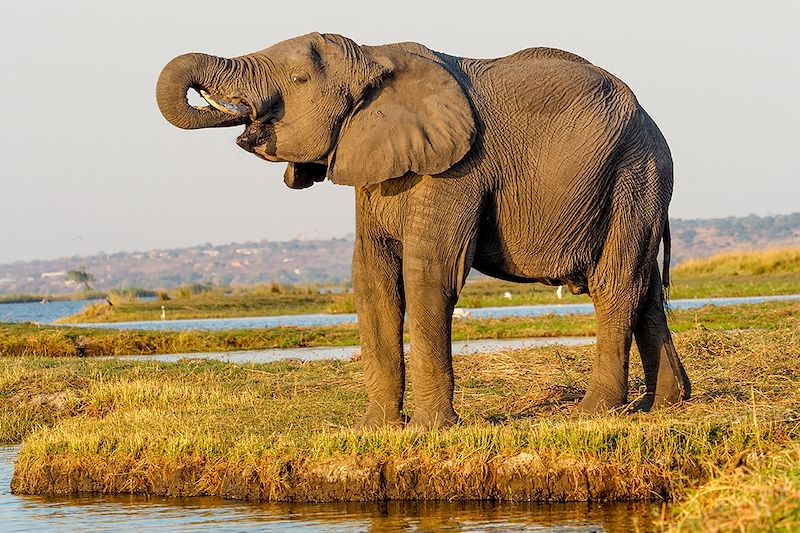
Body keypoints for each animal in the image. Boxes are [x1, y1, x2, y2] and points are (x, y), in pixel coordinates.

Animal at [158, 33, 692, 426]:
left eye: (299, 78)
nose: (236, 113)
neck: (371, 57)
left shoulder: (458, 169)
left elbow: (427, 274)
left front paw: (431, 429)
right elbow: (371, 278)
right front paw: (375, 430)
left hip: (636, 172)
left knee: (615, 282)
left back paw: (595, 412)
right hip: (638, 180)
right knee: (644, 286)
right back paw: (665, 404)